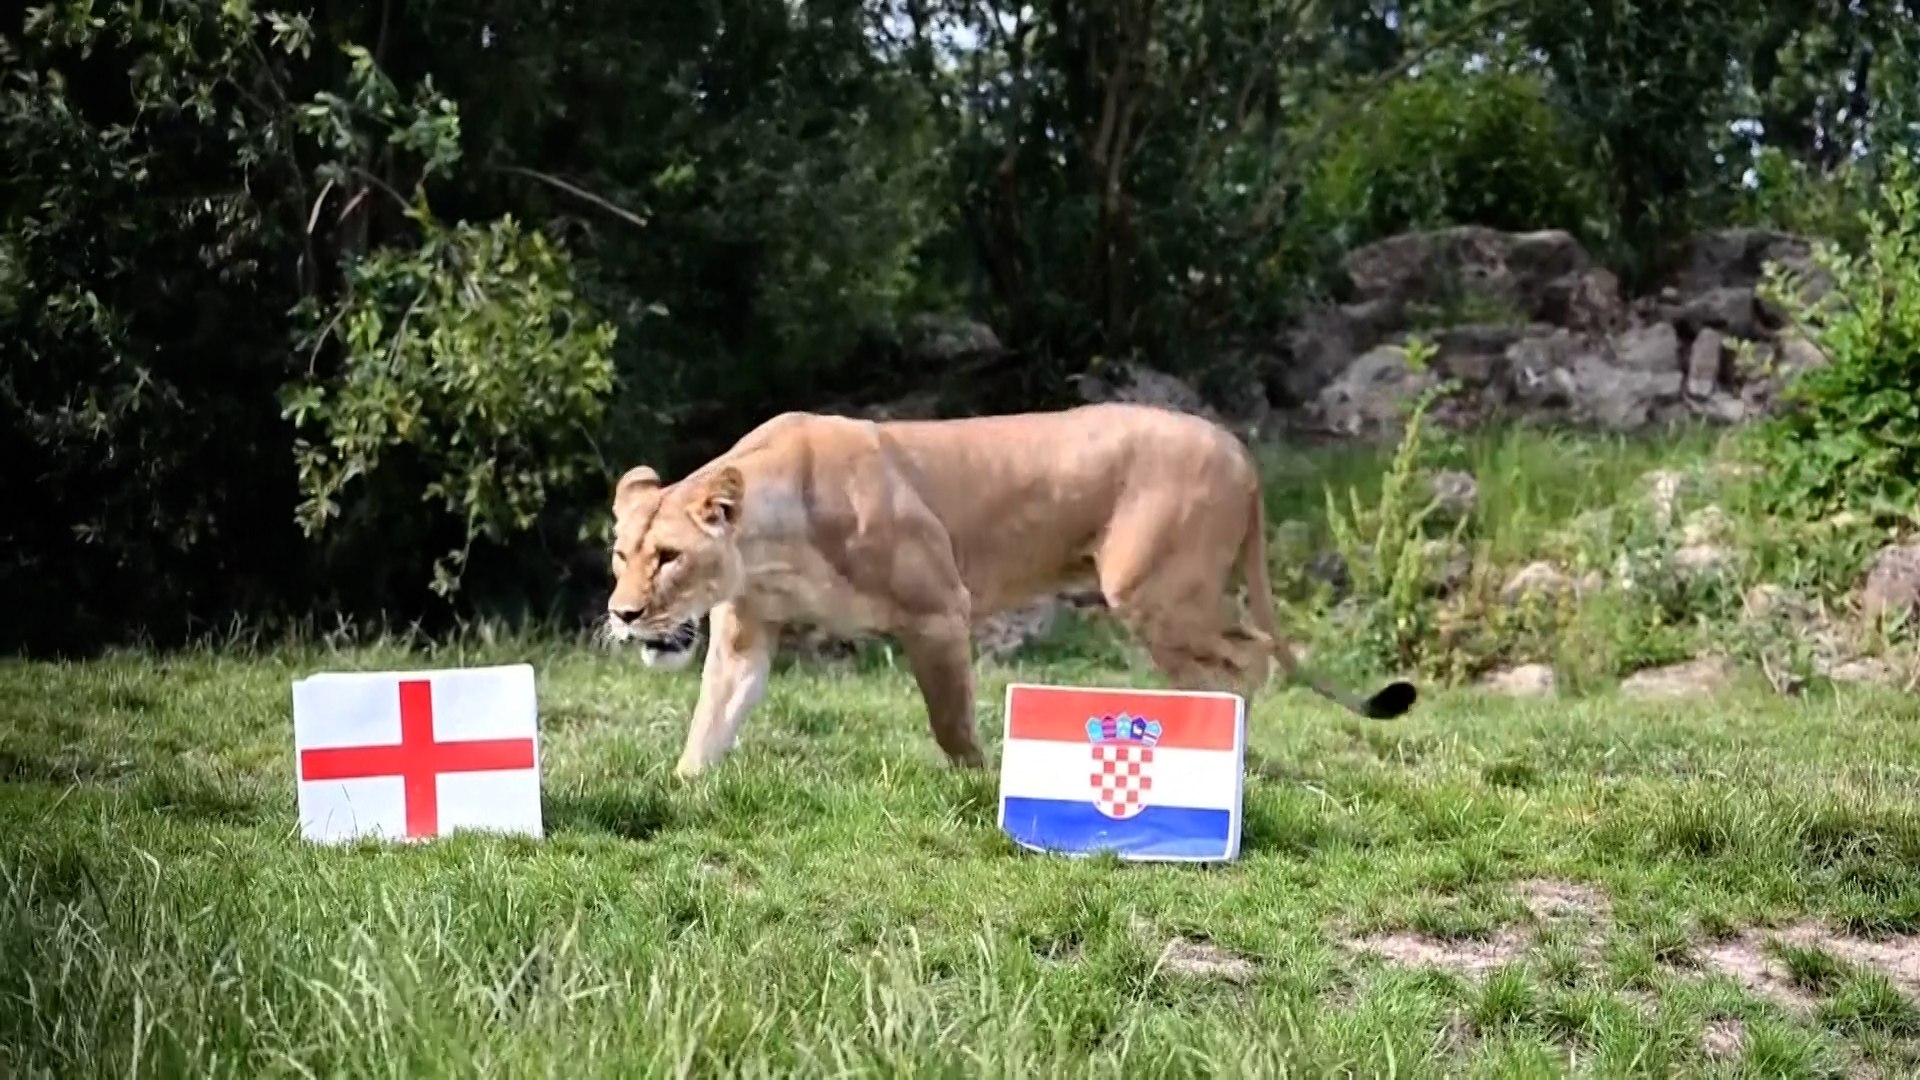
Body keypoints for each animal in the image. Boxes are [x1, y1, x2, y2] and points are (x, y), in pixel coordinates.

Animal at [603, 403, 1416, 778]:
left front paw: (983, 783)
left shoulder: (938, 610)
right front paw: (682, 788)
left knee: (1250, 660)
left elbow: (952, 723)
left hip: (1153, 592)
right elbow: (709, 726)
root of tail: (1237, 448)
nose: (623, 614)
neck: (768, 540)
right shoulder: (744, 638)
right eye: (620, 554)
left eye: (669, 556)